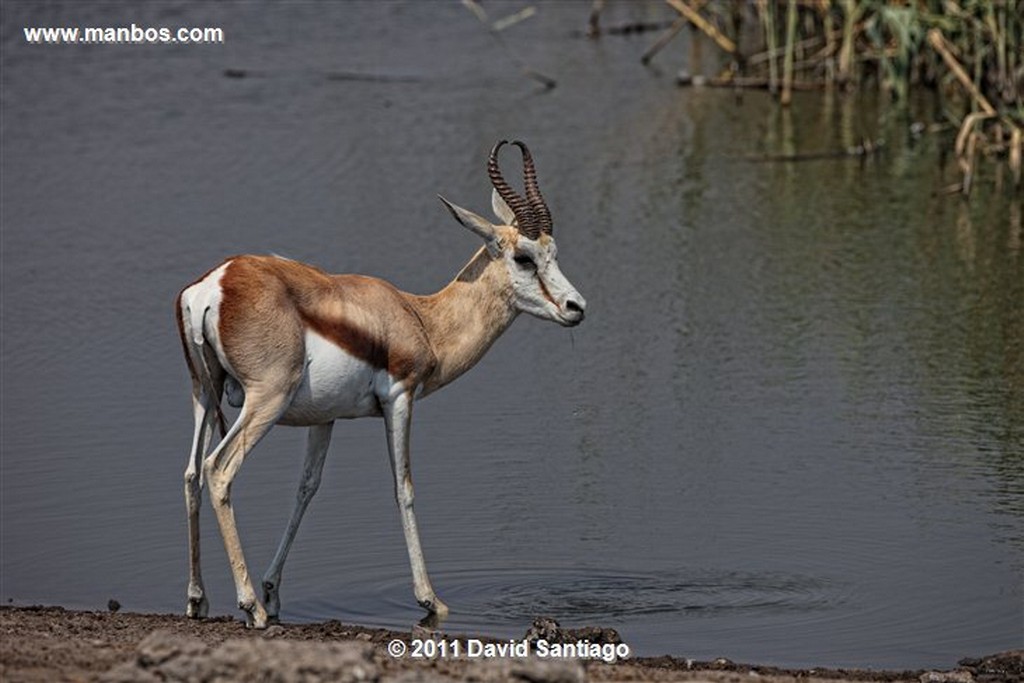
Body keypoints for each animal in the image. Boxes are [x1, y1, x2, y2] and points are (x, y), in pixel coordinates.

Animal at [178, 140, 585, 630]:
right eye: (524, 257)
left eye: (554, 252)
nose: (575, 307)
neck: (422, 319)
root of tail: (214, 286)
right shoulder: (400, 398)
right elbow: (403, 487)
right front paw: (431, 600)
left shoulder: (324, 419)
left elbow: (306, 489)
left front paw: (274, 589)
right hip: (265, 401)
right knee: (219, 470)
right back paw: (250, 606)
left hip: (204, 394)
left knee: (191, 473)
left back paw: (198, 600)